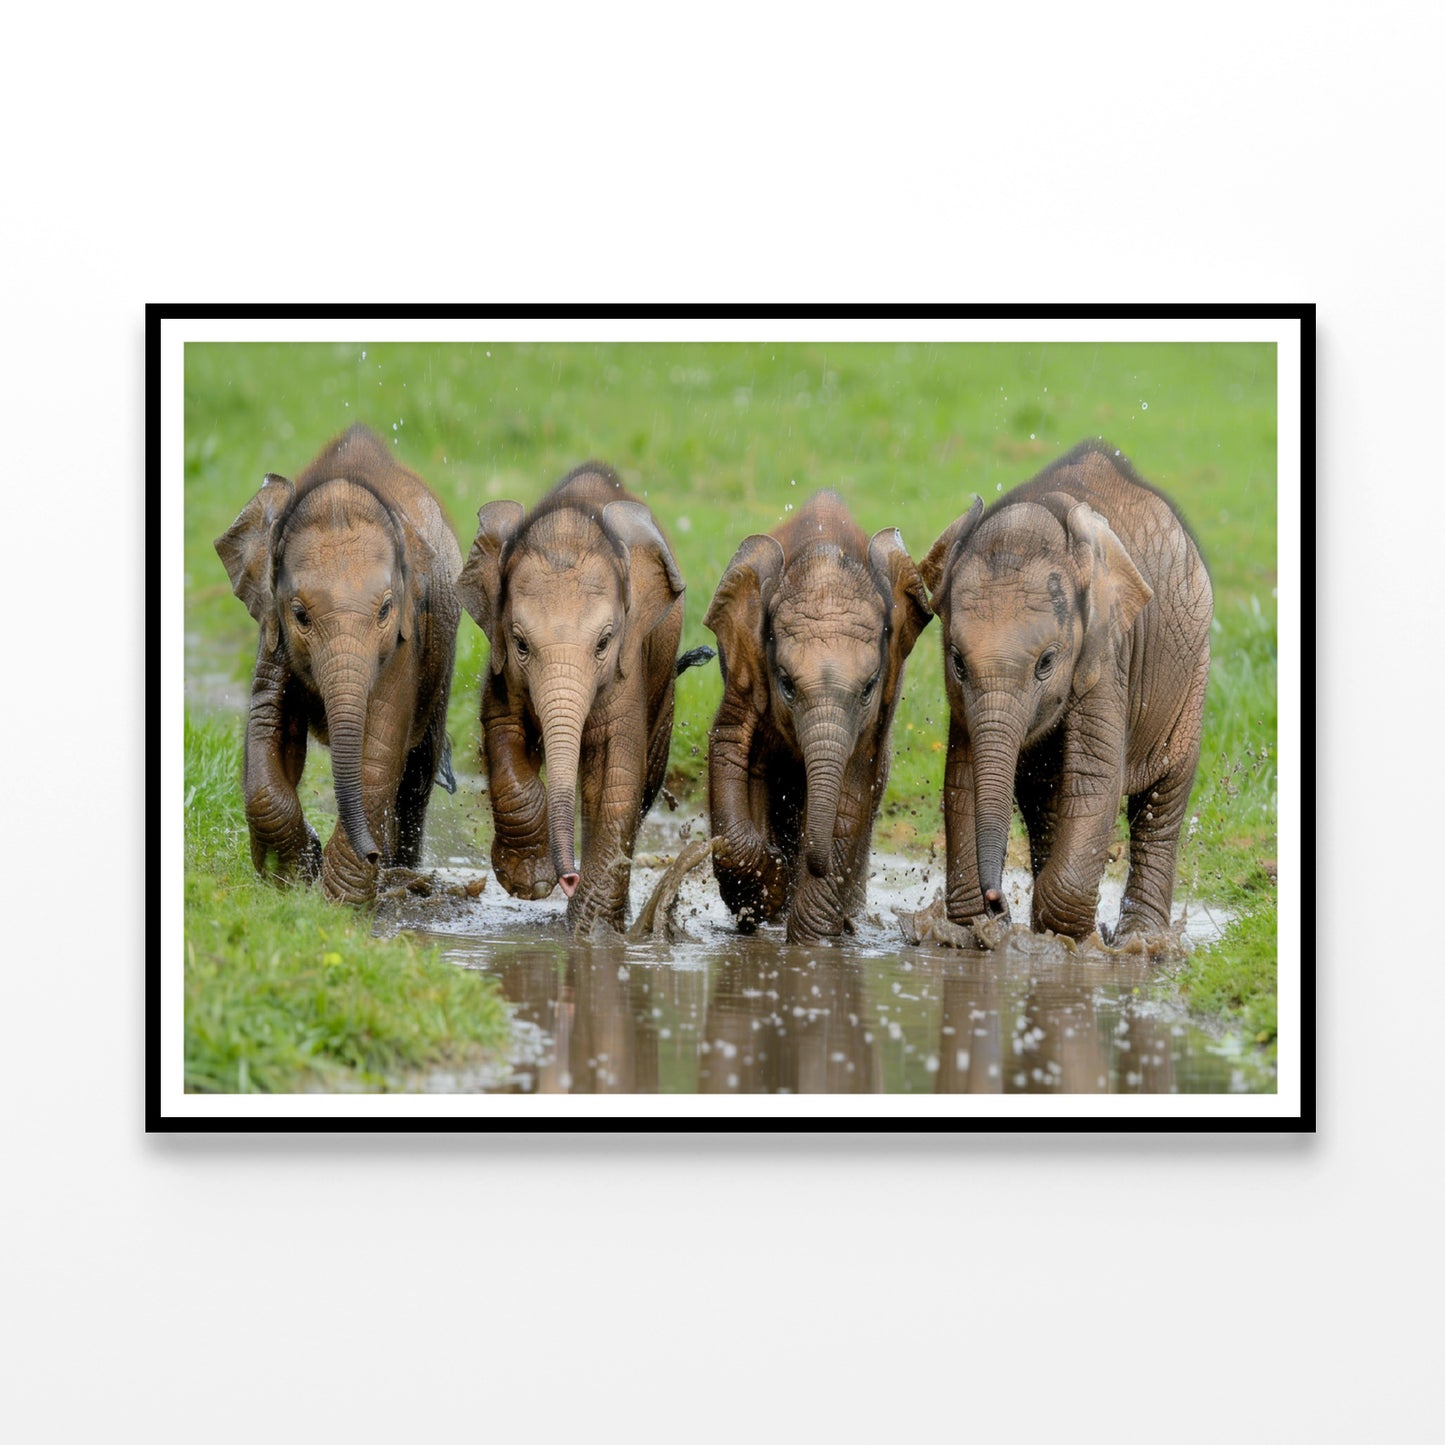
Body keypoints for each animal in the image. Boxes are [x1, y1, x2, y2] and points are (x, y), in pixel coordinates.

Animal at [214, 424, 463, 904]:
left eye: (384, 610)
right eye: (300, 614)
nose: (372, 855)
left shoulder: (405, 641)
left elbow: (380, 746)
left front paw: (340, 905)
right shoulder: (273, 634)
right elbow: (266, 725)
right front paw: (293, 877)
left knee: (417, 776)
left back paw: (402, 871)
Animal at [457, 462, 707, 935]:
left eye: (604, 643)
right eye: (520, 644)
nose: (567, 879)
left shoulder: (627, 666)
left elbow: (614, 772)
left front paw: (592, 933)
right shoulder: (502, 669)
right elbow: (503, 734)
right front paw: (529, 883)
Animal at [704, 489, 932, 942]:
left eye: (868, 686)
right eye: (786, 684)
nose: (815, 863)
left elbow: (850, 793)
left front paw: (814, 943)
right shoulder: (746, 663)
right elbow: (728, 745)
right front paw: (768, 890)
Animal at [920, 439, 1213, 942]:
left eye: (1047, 663)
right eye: (957, 661)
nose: (997, 899)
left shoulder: (1106, 655)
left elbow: (1096, 779)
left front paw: (1075, 940)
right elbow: (963, 777)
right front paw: (984, 931)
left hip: (1193, 669)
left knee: (1161, 801)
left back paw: (1141, 940)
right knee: (1045, 807)